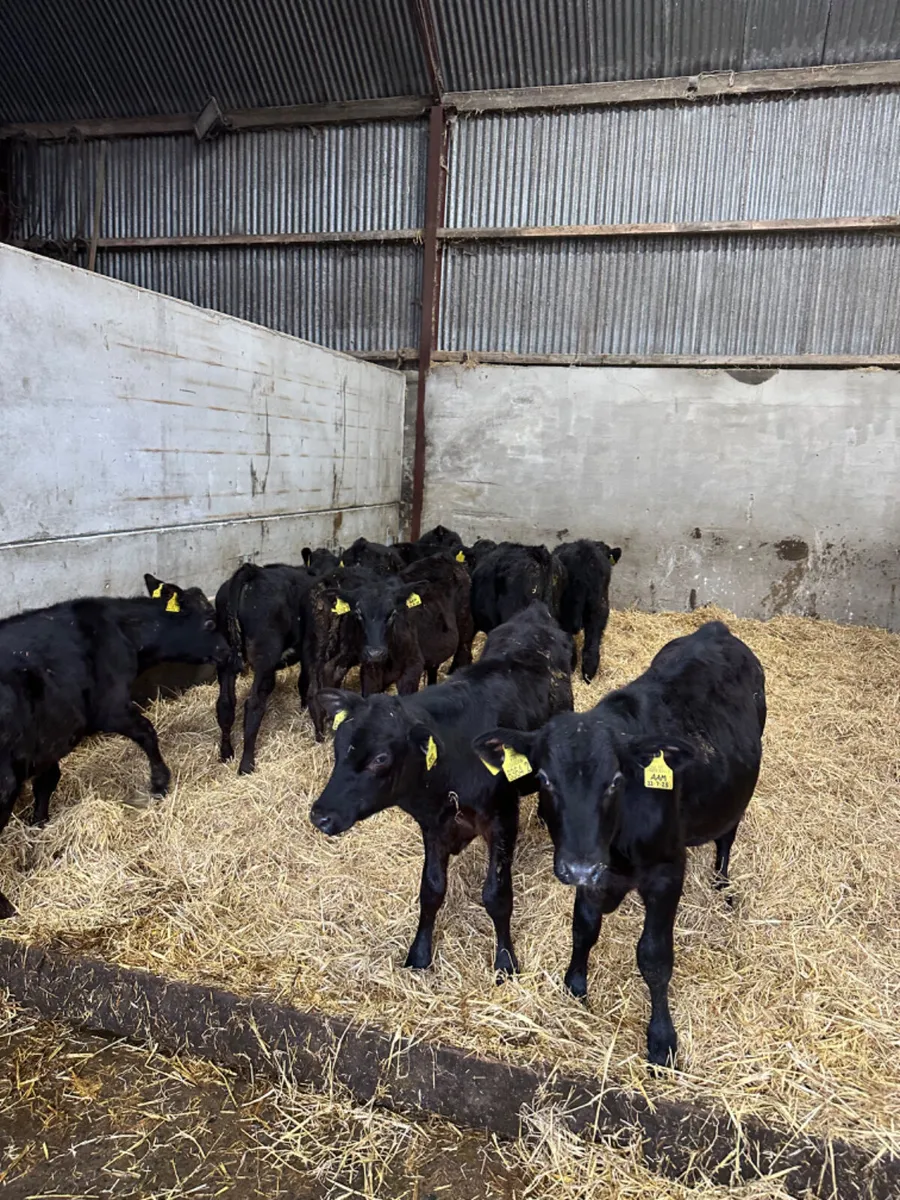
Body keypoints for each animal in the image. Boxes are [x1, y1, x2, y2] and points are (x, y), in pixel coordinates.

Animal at [0, 590, 230, 916]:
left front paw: (39, 825)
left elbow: (47, 781)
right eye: (210, 622)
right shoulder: (109, 707)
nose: (227, 652)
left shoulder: (50, 735)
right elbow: (147, 732)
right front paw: (160, 783)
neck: (122, 630)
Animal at [214, 562, 316, 774]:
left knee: (225, 704)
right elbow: (304, 682)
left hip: (226, 659)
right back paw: (246, 764)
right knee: (253, 704)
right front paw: (304, 707)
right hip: (264, 656)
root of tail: (252, 572)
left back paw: (226, 753)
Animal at [309, 602, 574, 974]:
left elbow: (497, 895)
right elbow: (431, 890)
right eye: (337, 747)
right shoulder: (434, 826)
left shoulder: (502, 819)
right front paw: (420, 954)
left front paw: (505, 960)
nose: (321, 815)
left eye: (380, 758)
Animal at [332, 553, 474, 697]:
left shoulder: (412, 668)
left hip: (465, 627)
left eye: (393, 613)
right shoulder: (368, 672)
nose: (375, 653)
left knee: (464, 654)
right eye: (358, 613)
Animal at [474, 620, 765, 1067]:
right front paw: (575, 984)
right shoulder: (594, 869)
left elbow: (654, 956)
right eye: (544, 779)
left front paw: (662, 1039)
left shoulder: (666, 872)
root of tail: (714, 627)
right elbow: (583, 927)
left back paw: (722, 885)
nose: (578, 867)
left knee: (726, 839)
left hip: (735, 801)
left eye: (614, 781)